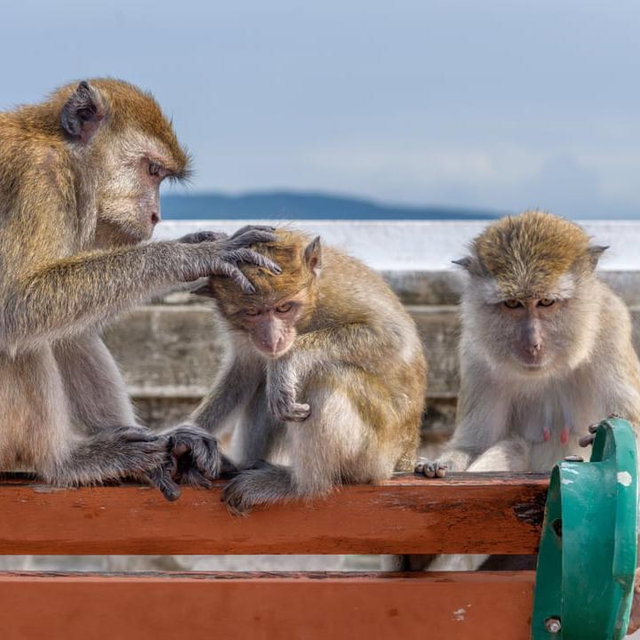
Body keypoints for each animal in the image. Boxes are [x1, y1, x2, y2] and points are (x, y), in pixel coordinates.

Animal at [0, 78, 280, 501]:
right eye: (152, 171)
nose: (155, 216)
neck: (64, 154)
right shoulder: (39, 179)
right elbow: (18, 301)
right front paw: (188, 256)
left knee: (66, 333)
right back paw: (64, 463)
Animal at [190, 228, 427, 515]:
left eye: (283, 307)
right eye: (252, 312)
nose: (272, 339)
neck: (311, 306)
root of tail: (405, 456)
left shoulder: (337, 294)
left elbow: (393, 337)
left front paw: (287, 359)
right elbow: (244, 374)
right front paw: (184, 438)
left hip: (376, 456)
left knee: (325, 376)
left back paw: (299, 486)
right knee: (268, 388)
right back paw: (242, 465)